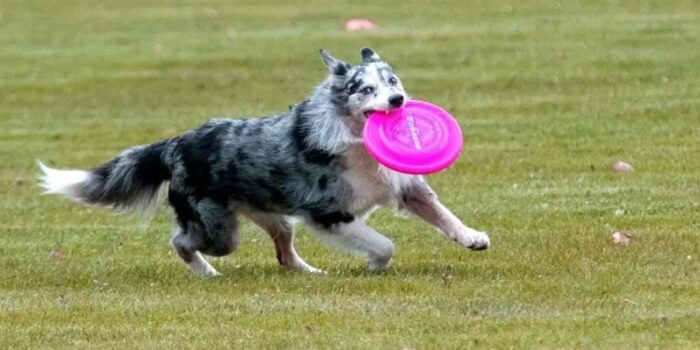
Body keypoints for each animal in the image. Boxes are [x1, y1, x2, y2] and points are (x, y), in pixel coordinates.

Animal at [37, 48, 486, 276]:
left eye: (392, 81)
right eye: (365, 89)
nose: (398, 101)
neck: (353, 137)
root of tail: (176, 143)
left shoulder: (405, 186)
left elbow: (442, 214)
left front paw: (472, 238)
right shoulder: (327, 212)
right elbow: (384, 242)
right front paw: (376, 262)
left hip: (276, 216)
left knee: (284, 251)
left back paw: (308, 273)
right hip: (220, 231)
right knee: (182, 241)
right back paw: (206, 273)